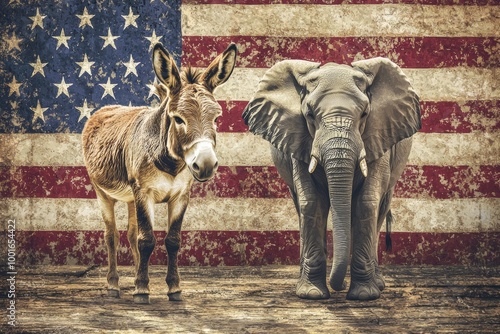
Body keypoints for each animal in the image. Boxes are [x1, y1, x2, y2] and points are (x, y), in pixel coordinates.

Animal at [240, 56, 420, 300]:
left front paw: (363, 296)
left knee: (380, 205)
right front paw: (311, 294)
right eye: (309, 115)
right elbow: (312, 202)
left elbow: (366, 202)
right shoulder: (298, 140)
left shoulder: (379, 135)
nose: (338, 287)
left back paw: (377, 283)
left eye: (364, 114)